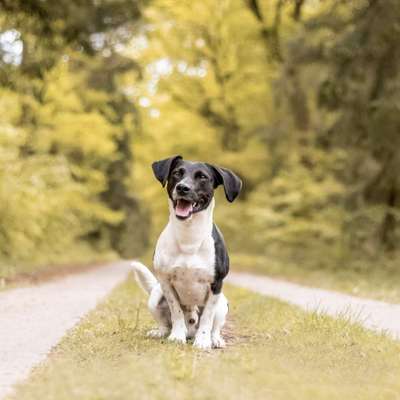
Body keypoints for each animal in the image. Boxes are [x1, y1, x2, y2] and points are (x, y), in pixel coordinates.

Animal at [133, 155, 242, 348]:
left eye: (203, 177)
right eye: (177, 173)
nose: (182, 187)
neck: (189, 236)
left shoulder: (216, 284)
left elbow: (207, 317)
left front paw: (203, 340)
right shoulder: (165, 281)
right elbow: (176, 311)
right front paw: (177, 336)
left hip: (222, 303)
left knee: (215, 326)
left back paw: (215, 339)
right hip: (155, 296)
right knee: (165, 323)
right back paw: (162, 332)